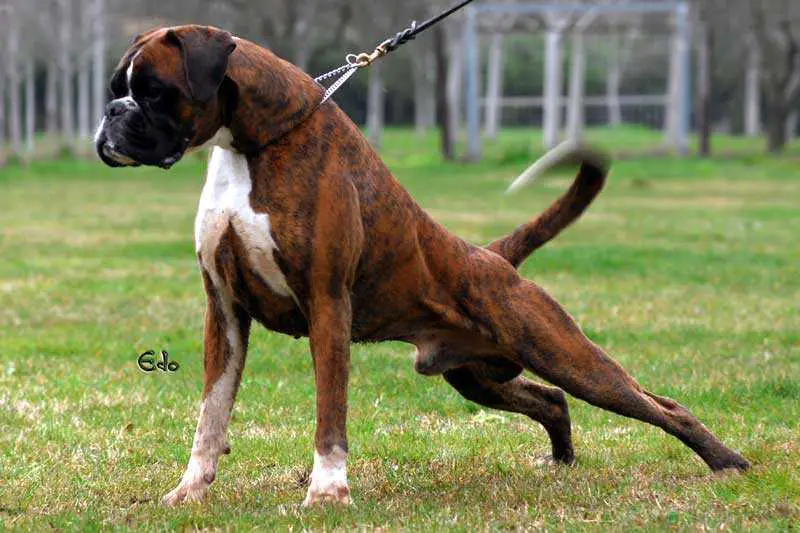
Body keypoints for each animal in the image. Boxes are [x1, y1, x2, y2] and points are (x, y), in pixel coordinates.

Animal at [94, 26, 752, 508]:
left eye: (153, 91)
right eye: (119, 87)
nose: (111, 113)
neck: (250, 146)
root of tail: (493, 257)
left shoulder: (327, 303)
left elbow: (329, 412)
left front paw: (327, 494)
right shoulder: (225, 312)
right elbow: (211, 414)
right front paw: (189, 490)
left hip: (565, 354)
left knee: (658, 405)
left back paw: (728, 463)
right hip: (477, 375)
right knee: (551, 402)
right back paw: (562, 463)